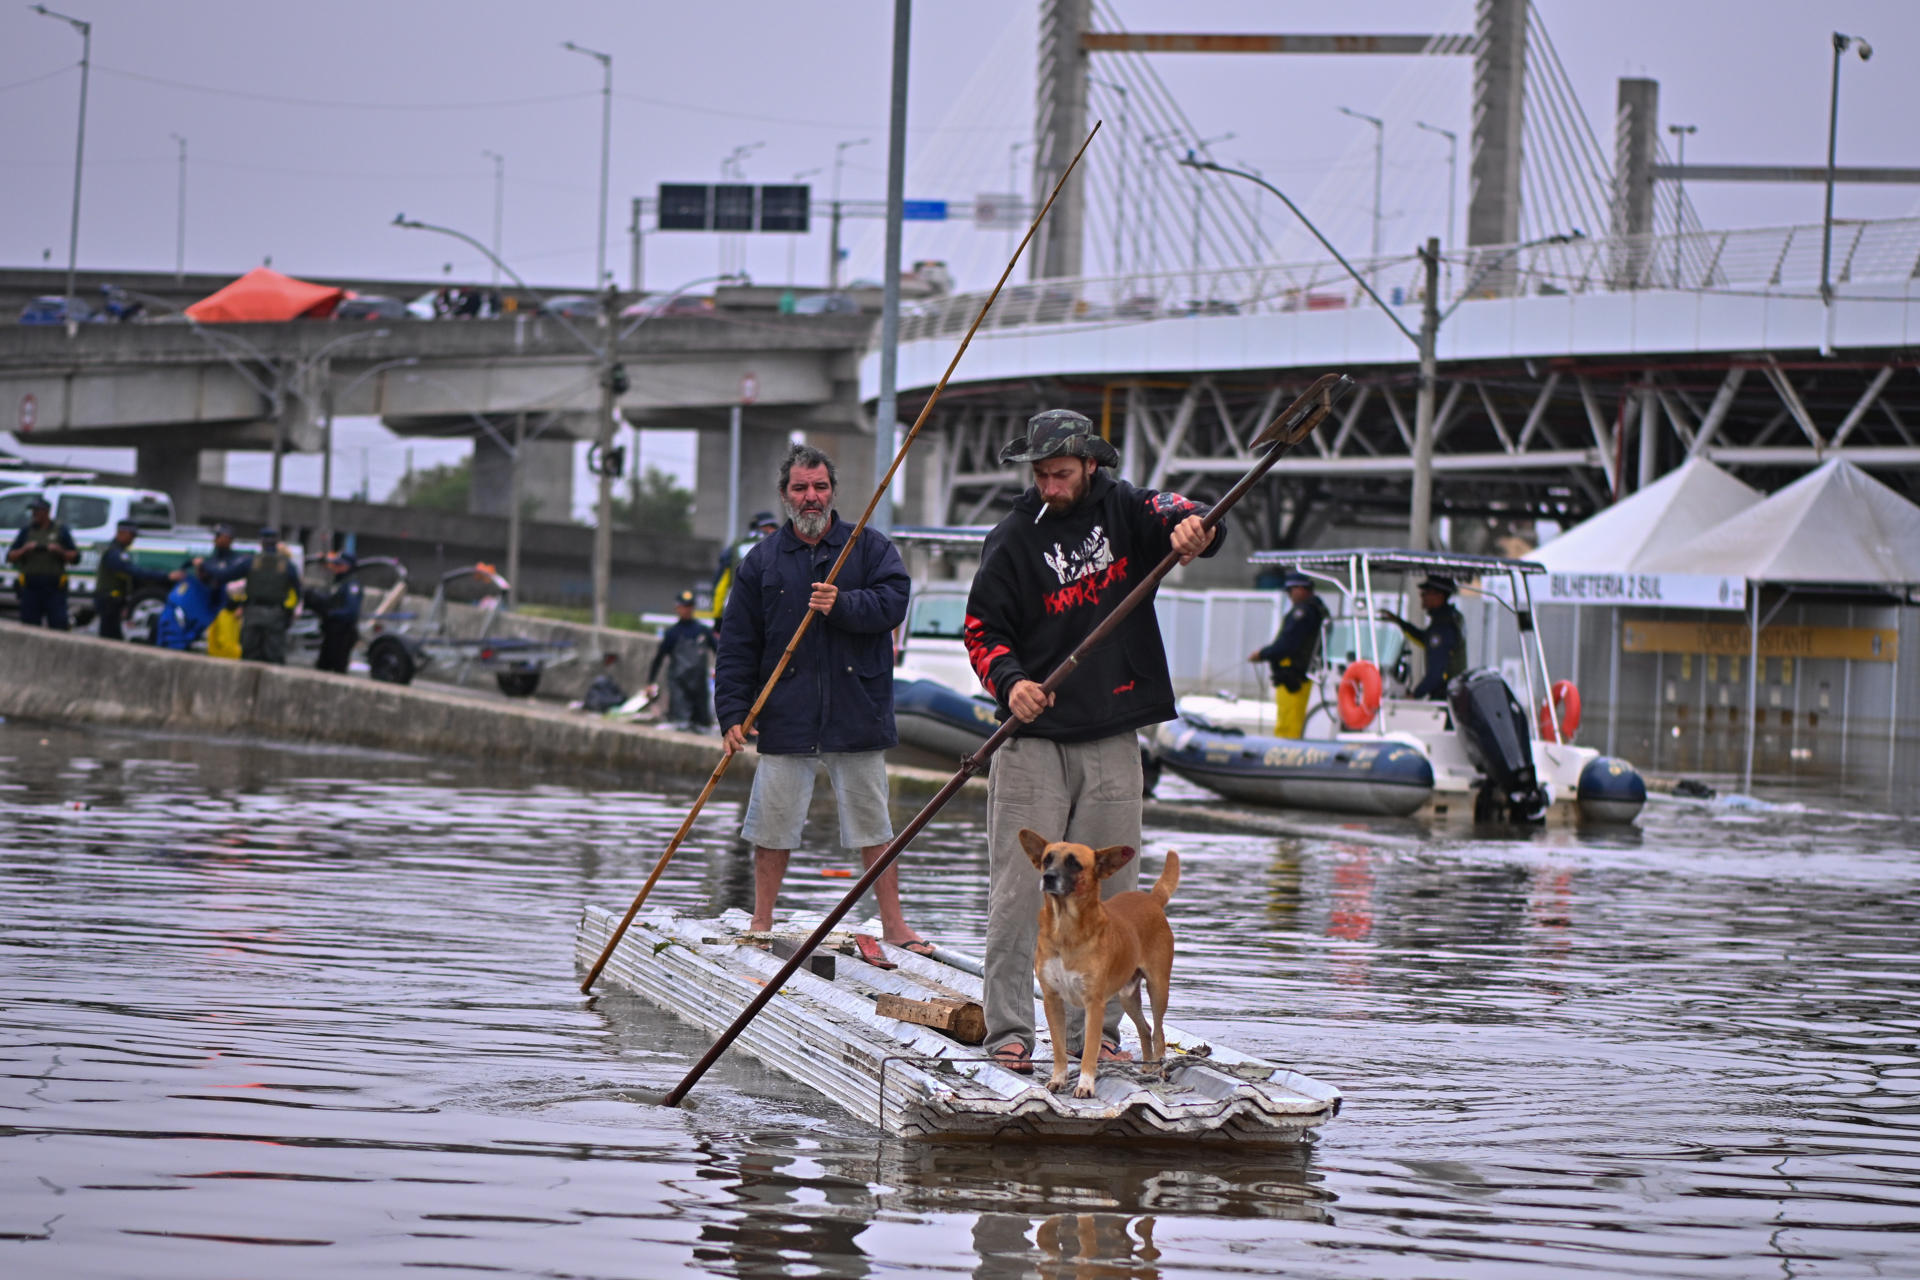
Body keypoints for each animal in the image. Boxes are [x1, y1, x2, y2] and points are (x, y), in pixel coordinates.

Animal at [1029, 832, 1175, 1105]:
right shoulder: (1052, 1001)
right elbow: (1058, 1049)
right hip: (1128, 997)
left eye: (1074, 863)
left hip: (1158, 989)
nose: (1048, 877)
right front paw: (1058, 1079)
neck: (1066, 930)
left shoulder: (1094, 1004)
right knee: (1145, 1028)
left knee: (1159, 1033)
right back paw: (1147, 1067)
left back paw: (1159, 1069)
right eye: (1046, 860)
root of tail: (1151, 899)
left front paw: (1086, 1086)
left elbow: (1089, 1051)